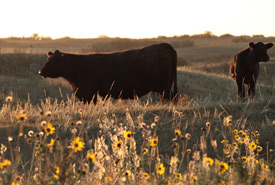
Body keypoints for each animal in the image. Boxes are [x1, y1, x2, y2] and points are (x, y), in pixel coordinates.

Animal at [38, 43, 179, 104]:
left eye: (53, 61)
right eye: (48, 59)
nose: (41, 71)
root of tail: (163, 45)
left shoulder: (90, 94)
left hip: (164, 88)